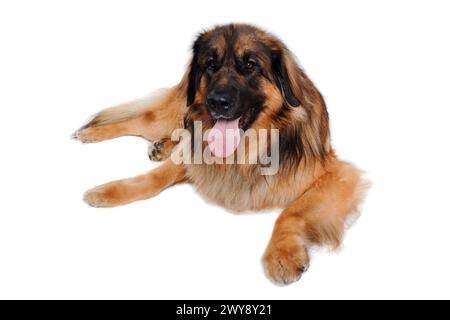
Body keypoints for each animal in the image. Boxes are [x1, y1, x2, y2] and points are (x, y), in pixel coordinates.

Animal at [74, 23, 370, 284]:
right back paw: (91, 133)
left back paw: (160, 145)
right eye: (210, 64)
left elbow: (291, 212)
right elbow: (153, 178)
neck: (251, 148)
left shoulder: (337, 175)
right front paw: (108, 190)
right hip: (176, 111)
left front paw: (281, 255)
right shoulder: (196, 153)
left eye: (250, 65)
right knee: (141, 120)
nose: (217, 102)